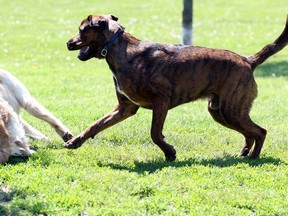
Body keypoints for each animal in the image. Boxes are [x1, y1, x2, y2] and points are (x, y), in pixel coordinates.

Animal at [66, 14, 288, 160]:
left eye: (81, 30)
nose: (68, 43)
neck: (120, 49)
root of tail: (247, 60)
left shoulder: (161, 102)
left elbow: (155, 133)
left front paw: (169, 152)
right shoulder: (125, 108)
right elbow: (96, 124)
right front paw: (76, 141)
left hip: (231, 111)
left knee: (260, 131)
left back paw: (254, 157)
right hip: (221, 112)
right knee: (249, 133)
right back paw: (244, 153)